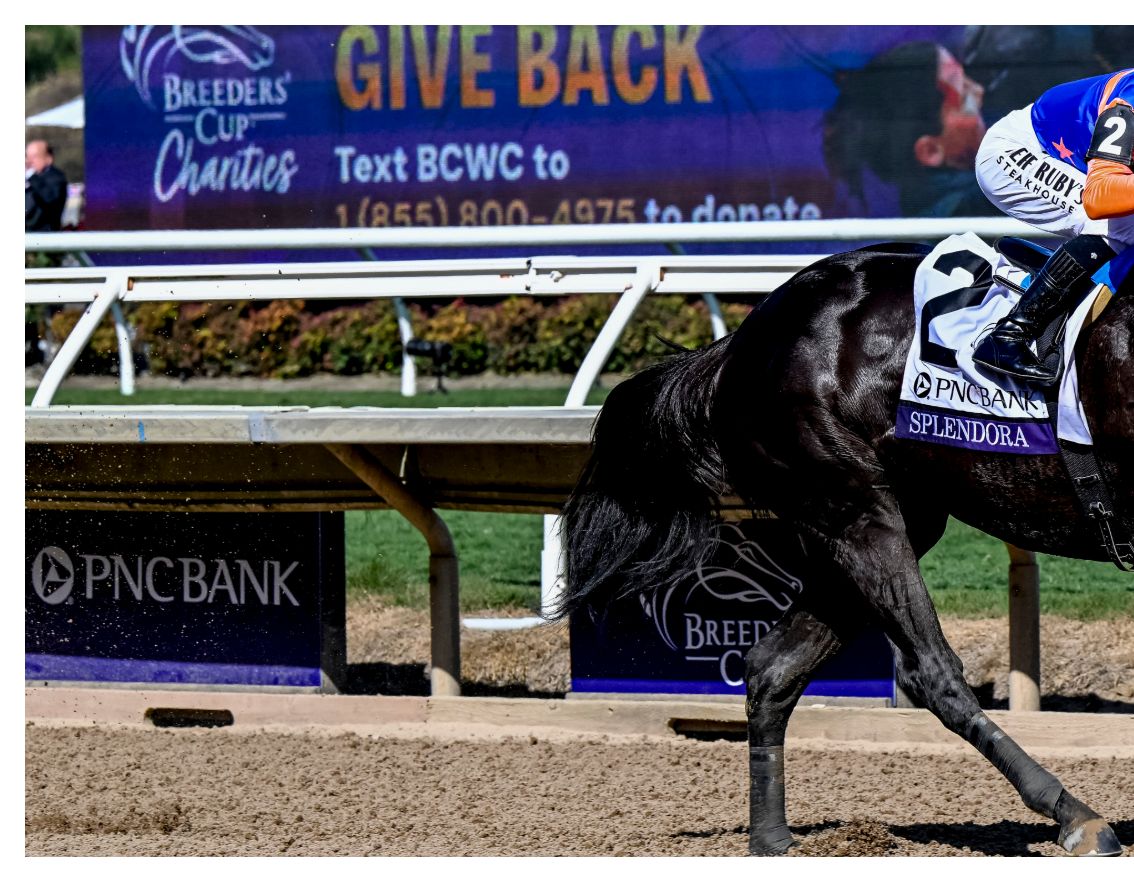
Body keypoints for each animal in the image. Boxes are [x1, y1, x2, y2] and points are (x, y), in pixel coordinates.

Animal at [551, 241, 1132, 857]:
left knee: (772, 666)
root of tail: (740, 341)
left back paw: (773, 840)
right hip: (859, 511)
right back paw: (1074, 814)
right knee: (929, 672)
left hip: (873, 527)